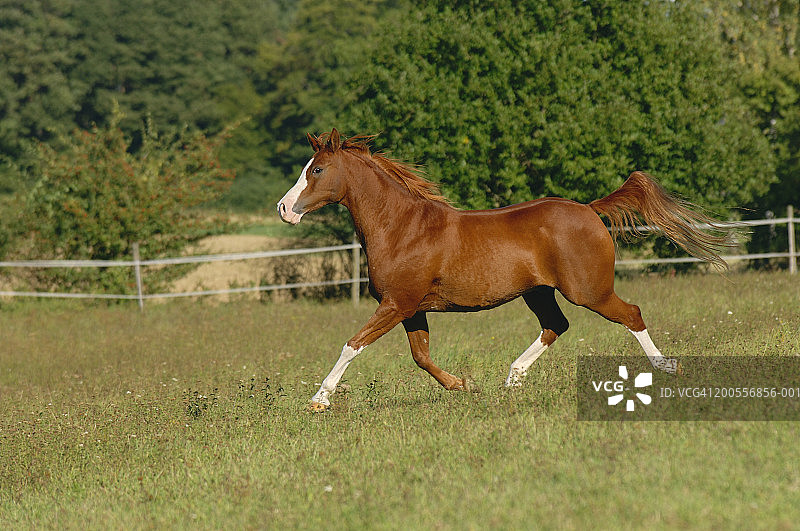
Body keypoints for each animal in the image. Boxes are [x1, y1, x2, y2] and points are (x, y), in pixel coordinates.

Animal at [278, 129, 727, 412]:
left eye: (316, 170)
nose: (283, 209)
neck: (402, 227)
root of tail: (589, 209)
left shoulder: (396, 304)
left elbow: (352, 345)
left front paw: (319, 400)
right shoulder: (410, 309)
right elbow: (421, 356)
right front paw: (463, 385)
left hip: (590, 291)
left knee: (630, 314)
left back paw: (667, 368)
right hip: (539, 292)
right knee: (556, 325)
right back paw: (512, 380)